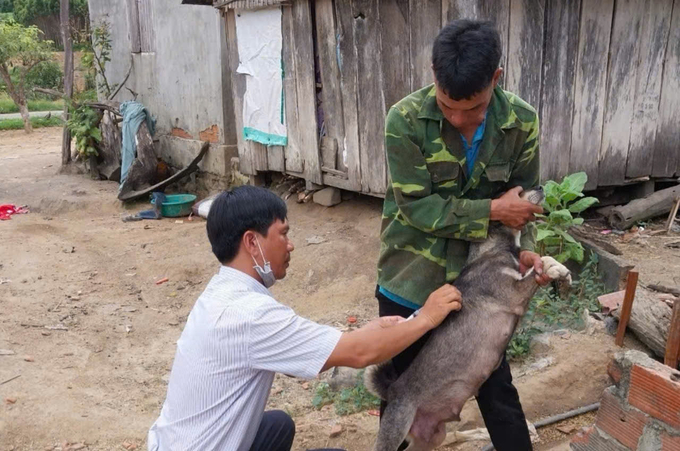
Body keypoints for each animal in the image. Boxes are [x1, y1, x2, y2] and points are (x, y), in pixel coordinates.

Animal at [364, 187, 572, 451]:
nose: (540, 187)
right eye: (518, 193)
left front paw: (562, 271)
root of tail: (392, 391)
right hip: (396, 430)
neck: (492, 250)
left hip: (430, 438)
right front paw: (552, 269)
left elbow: (543, 261)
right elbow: (540, 264)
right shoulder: (513, 293)